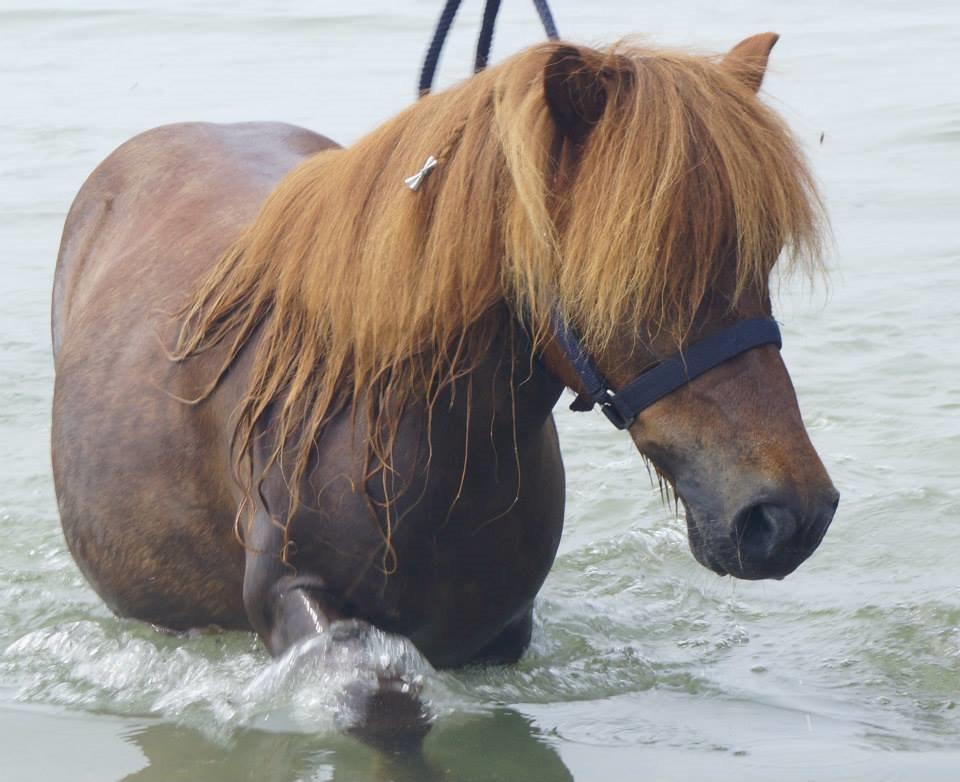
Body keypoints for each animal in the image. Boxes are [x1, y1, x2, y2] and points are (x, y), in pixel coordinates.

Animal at [50, 35, 840, 748]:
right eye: (638, 268)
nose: (789, 515)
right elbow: (387, 711)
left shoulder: (497, 633)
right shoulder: (297, 607)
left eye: (765, 257)